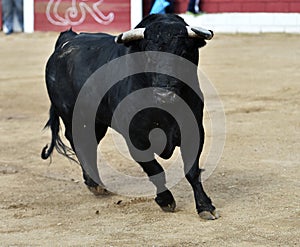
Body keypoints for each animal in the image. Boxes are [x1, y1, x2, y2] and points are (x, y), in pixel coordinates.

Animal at [41, 13, 218, 219]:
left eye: (183, 53)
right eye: (148, 54)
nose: (164, 94)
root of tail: (67, 40)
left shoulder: (193, 129)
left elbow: (192, 170)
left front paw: (205, 206)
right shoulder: (135, 137)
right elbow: (154, 169)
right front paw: (165, 200)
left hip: (97, 122)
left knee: (89, 145)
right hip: (75, 117)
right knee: (81, 144)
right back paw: (95, 184)